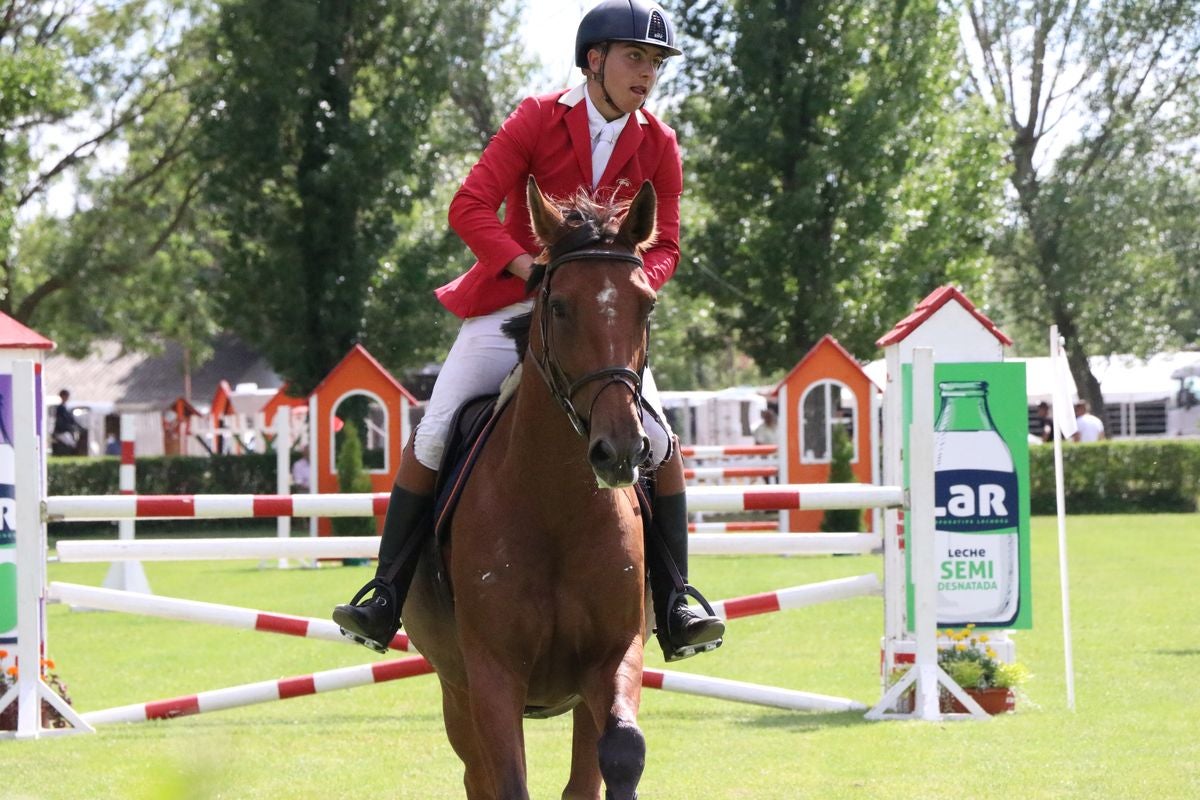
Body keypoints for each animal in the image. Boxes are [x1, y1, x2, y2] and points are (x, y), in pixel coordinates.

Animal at [405, 178, 662, 796]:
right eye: (560, 305)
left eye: (647, 305)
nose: (621, 451)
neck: (555, 509)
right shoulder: (492, 675)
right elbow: (507, 780)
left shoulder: (612, 657)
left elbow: (621, 754)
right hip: (456, 692)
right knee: (476, 775)